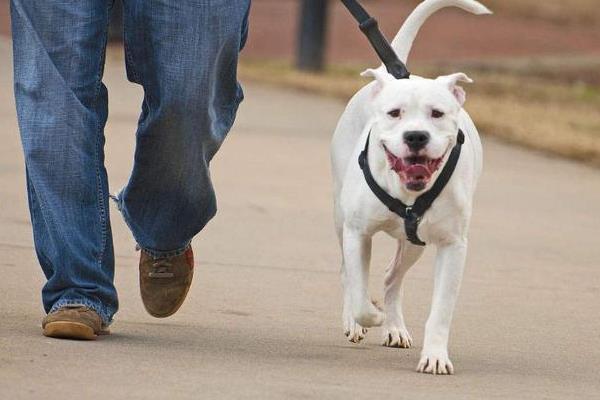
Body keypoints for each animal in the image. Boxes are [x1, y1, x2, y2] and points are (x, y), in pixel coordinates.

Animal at [330, 0, 490, 376]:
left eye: (437, 114)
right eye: (394, 113)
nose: (416, 136)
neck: (408, 192)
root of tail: (394, 73)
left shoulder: (452, 246)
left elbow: (442, 311)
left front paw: (435, 356)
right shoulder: (357, 233)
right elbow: (359, 292)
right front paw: (367, 316)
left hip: (414, 244)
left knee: (392, 278)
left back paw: (395, 327)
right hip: (341, 221)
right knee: (348, 274)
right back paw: (358, 322)